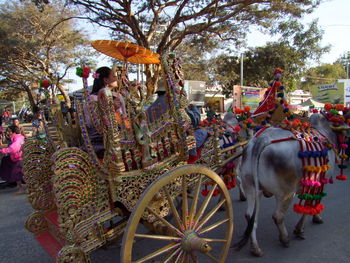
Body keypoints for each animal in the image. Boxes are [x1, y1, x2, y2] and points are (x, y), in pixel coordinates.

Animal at [237, 114, 338, 258]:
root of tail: (261, 140)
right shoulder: (318, 182)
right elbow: (310, 205)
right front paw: (303, 227)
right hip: (285, 193)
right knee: (278, 216)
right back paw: (284, 239)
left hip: (251, 188)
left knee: (250, 216)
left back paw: (255, 248)